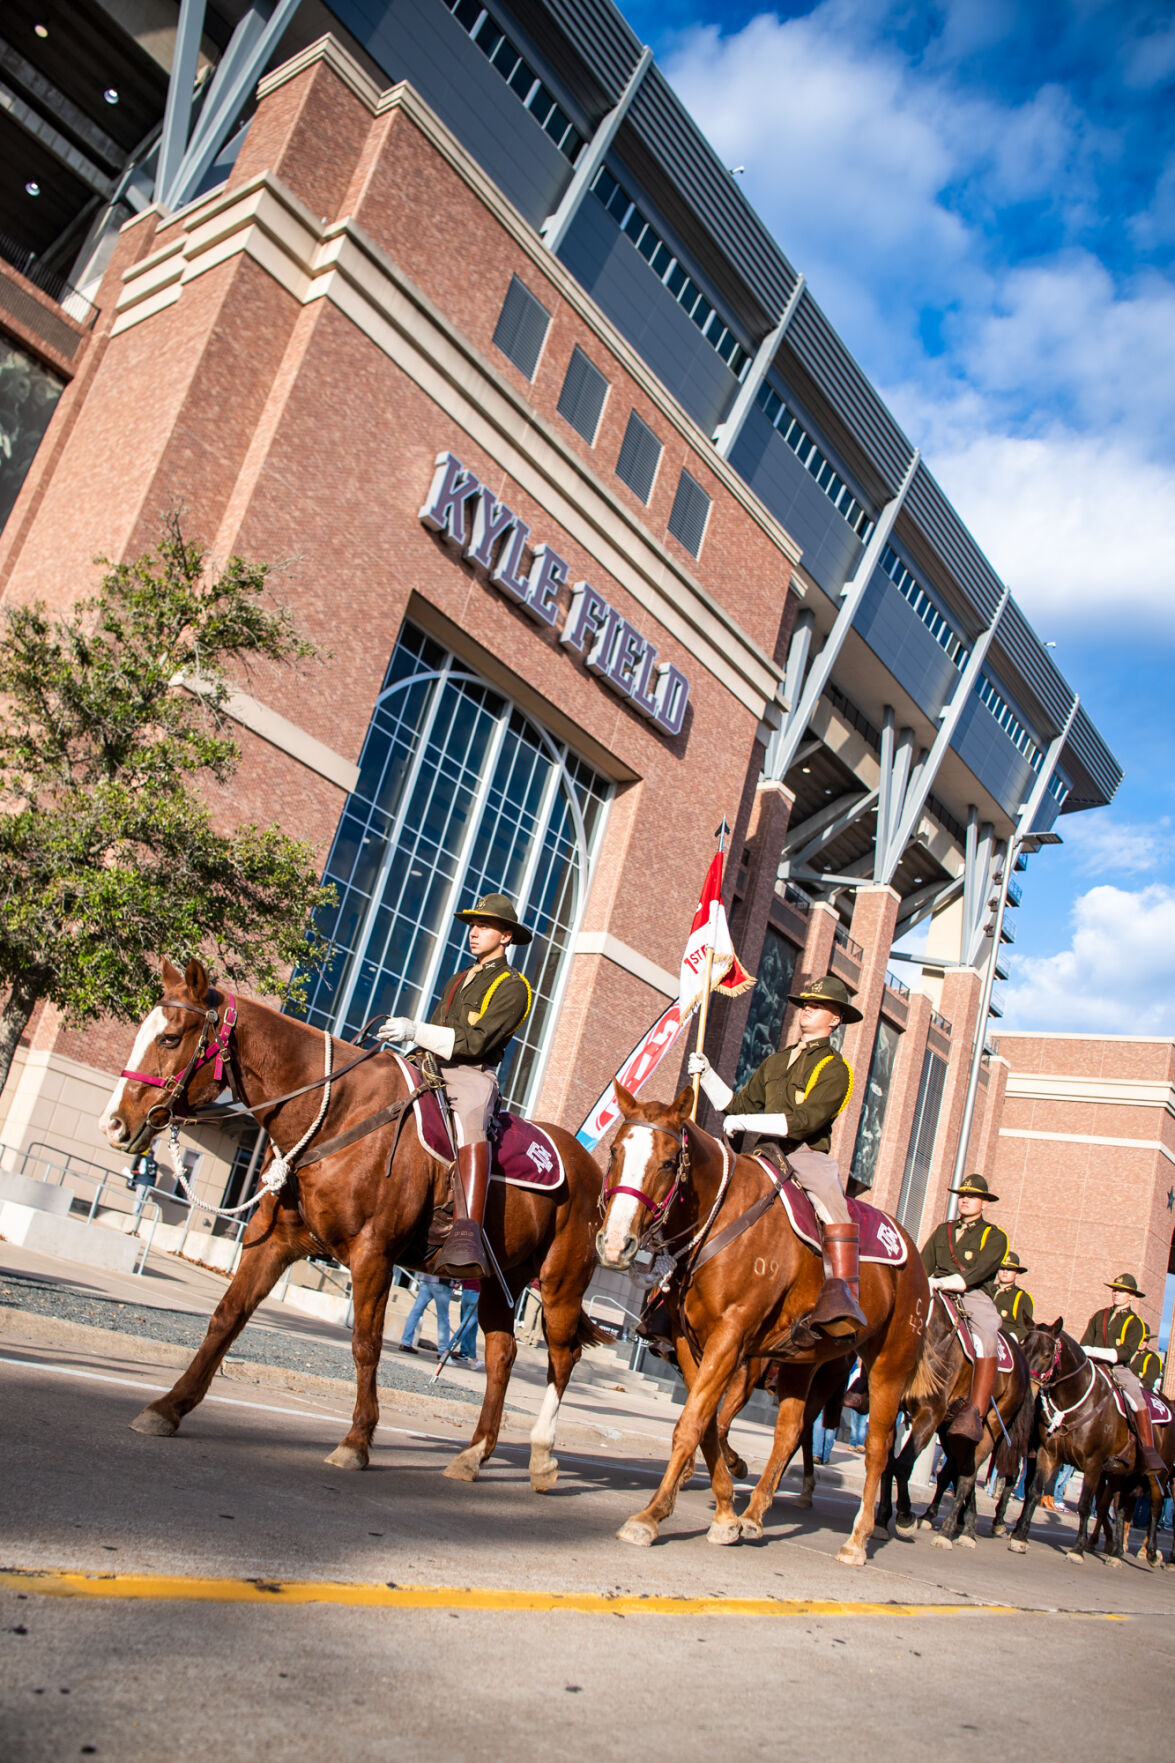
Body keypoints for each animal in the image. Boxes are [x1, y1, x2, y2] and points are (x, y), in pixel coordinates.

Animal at [599, 1078, 931, 1565]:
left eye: (667, 1162)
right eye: (614, 1152)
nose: (615, 1244)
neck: (723, 1213)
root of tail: (915, 1255)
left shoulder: (732, 1338)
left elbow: (693, 1424)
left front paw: (650, 1516)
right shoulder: (692, 1342)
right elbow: (706, 1424)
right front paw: (725, 1513)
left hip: (889, 1366)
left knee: (877, 1449)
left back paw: (858, 1539)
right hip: (801, 1363)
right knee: (790, 1433)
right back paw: (755, 1514)